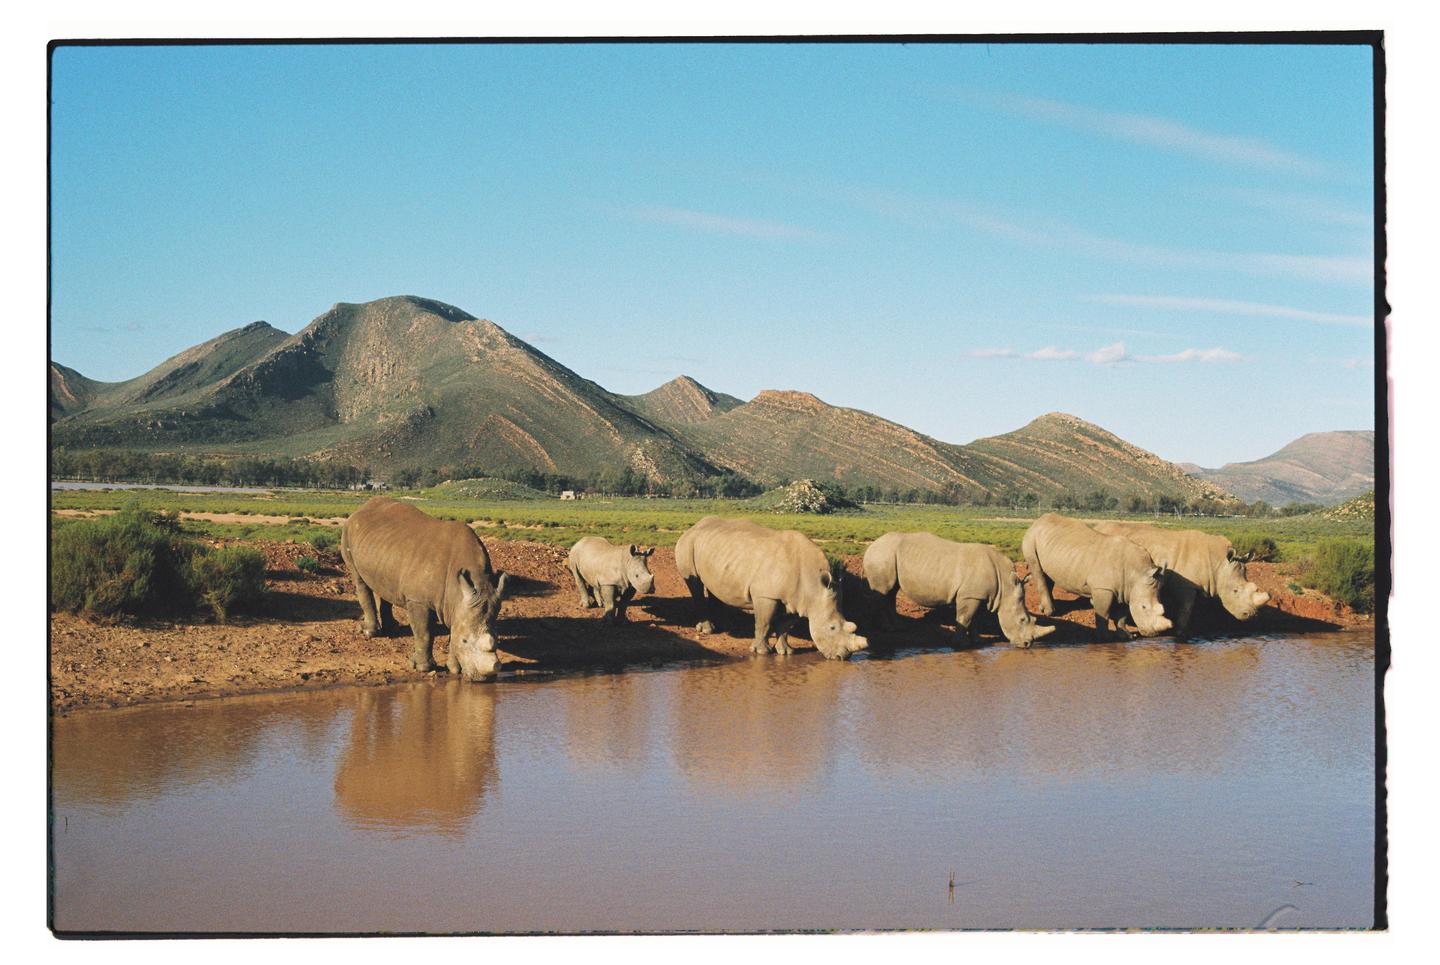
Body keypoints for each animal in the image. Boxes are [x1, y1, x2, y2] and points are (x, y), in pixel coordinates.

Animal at [340, 496, 510, 680]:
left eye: (497, 639)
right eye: (465, 640)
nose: (484, 678)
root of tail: (362, 507)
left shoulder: (459, 603)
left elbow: (454, 630)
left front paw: (454, 669)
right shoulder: (417, 600)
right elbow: (424, 632)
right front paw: (422, 668)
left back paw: (392, 627)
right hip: (347, 531)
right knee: (359, 579)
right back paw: (369, 633)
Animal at [674, 515, 868, 659]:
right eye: (832, 628)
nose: (843, 657)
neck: (813, 586)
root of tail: (694, 526)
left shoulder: (797, 600)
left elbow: (786, 626)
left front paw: (786, 652)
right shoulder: (766, 595)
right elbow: (764, 623)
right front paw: (761, 652)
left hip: (715, 549)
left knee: (714, 586)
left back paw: (721, 625)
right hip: (687, 543)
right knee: (695, 584)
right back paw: (708, 629)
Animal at [862, 531, 1056, 647]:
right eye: (1022, 619)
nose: (1027, 645)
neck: (1005, 585)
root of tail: (871, 546)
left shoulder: (980, 595)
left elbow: (975, 618)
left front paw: (976, 641)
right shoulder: (969, 595)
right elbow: (965, 617)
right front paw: (960, 644)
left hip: (887, 556)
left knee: (891, 592)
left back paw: (898, 628)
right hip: (882, 556)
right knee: (883, 591)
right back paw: (886, 630)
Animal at [1021, 513, 1172, 639]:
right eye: (1144, 607)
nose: (1154, 634)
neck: (1137, 572)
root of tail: (1037, 521)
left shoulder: (1126, 590)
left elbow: (1122, 615)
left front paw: (1126, 636)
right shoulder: (1103, 588)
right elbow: (1103, 613)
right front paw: (1105, 637)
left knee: (1048, 574)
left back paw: (1048, 608)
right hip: (1030, 538)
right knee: (1038, 570)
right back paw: (1050, 612)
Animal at [1092, 520, 1270, 637]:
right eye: (1235, 591)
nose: (1250, 615)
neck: (1219, 564)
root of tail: (1098, 527)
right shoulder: (1186, 586)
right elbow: (1186, 608)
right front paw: (1180, 633)